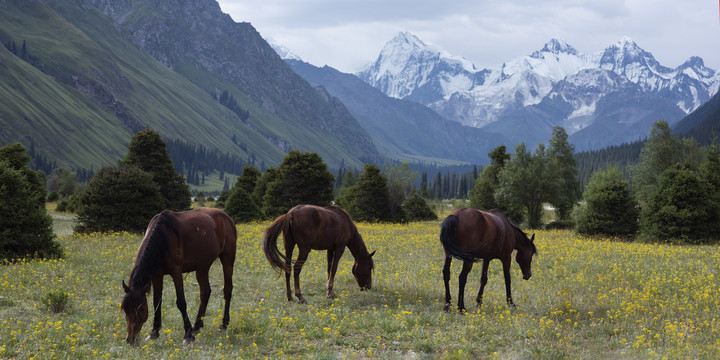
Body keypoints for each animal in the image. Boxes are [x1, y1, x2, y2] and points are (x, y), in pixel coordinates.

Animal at [121, 207, 236, 344]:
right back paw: (197, 326)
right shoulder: (157, 275)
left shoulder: (176, 272)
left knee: (227, 290)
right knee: (205, 292)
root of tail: (226, 216)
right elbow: (156, 302)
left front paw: (188, 335)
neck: (162, 239)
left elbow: (181, 302)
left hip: (227, 259)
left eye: (142, 309)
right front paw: (154, 332)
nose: (130, 339)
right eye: (125, 309)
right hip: (202, 267)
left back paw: (223, 324)